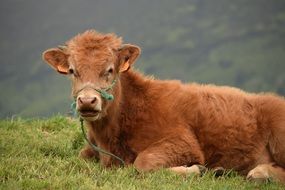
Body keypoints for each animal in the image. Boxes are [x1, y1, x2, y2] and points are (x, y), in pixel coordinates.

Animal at [42, 30, 284, 184]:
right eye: (72, 71)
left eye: (110, 69)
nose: (87, 101)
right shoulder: (92, 149)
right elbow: (81, 157)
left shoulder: (183, 142)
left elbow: (143, 162)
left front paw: (195, 170)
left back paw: (260, 174)